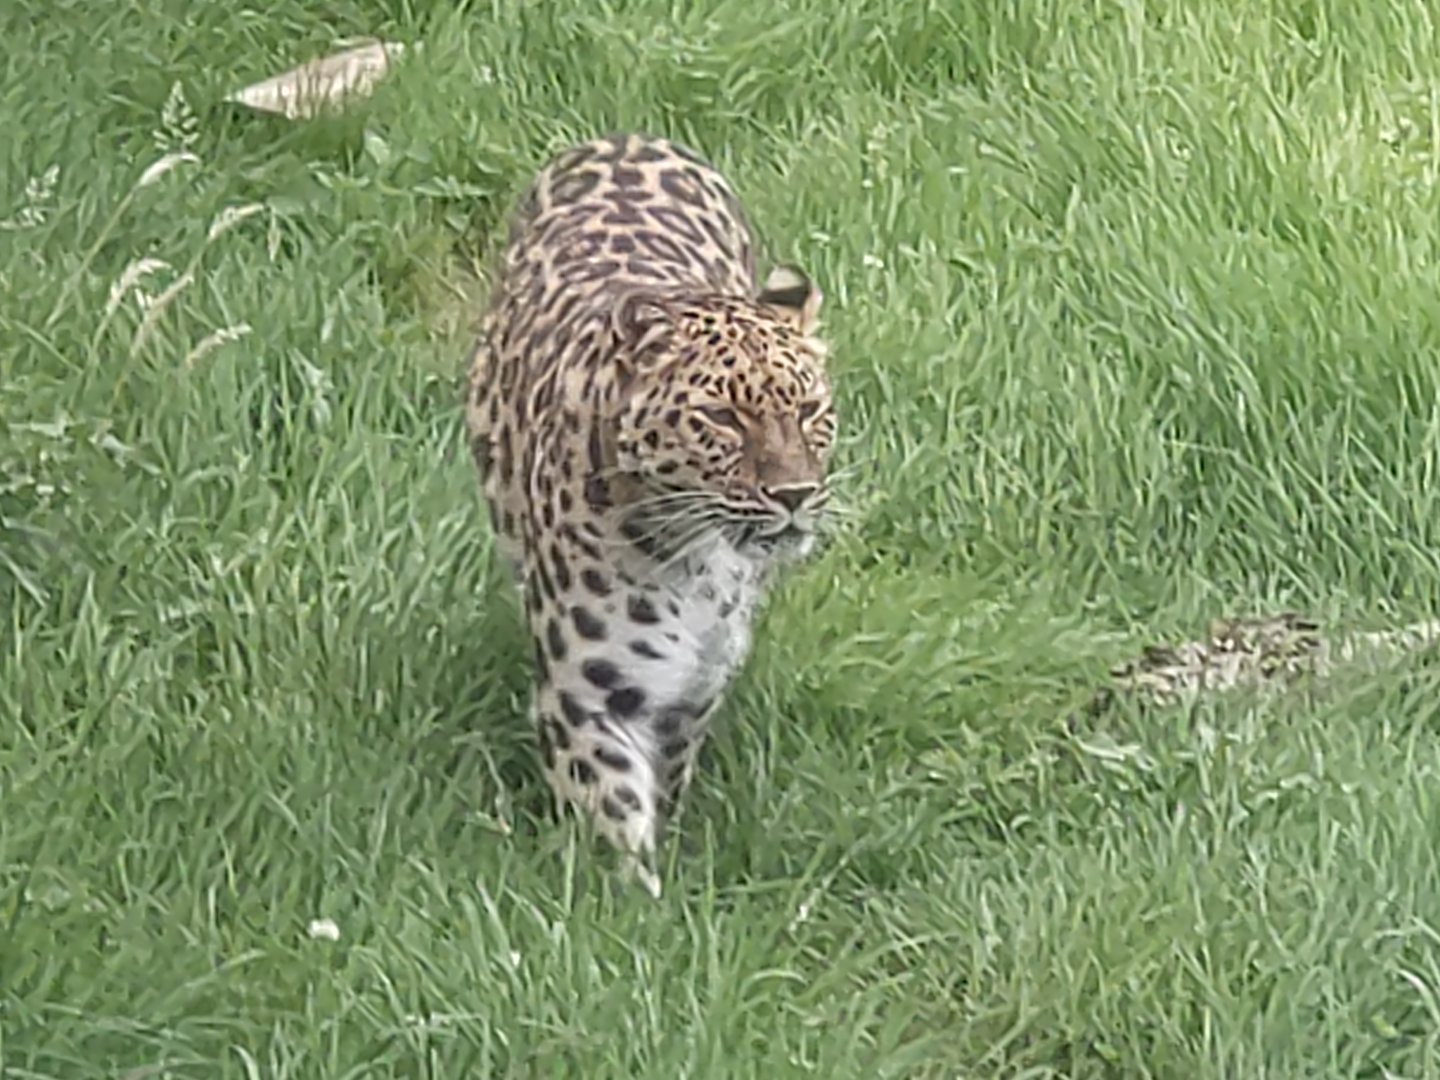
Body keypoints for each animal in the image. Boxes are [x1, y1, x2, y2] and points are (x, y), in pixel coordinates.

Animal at [463, 132, 836, 897]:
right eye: (722, 418)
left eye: (811, 410)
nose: (793, 494)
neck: (698, 561)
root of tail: (621, 137)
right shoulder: (592, 691)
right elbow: (611, 804)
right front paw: (635, 904)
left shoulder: (696, 686)